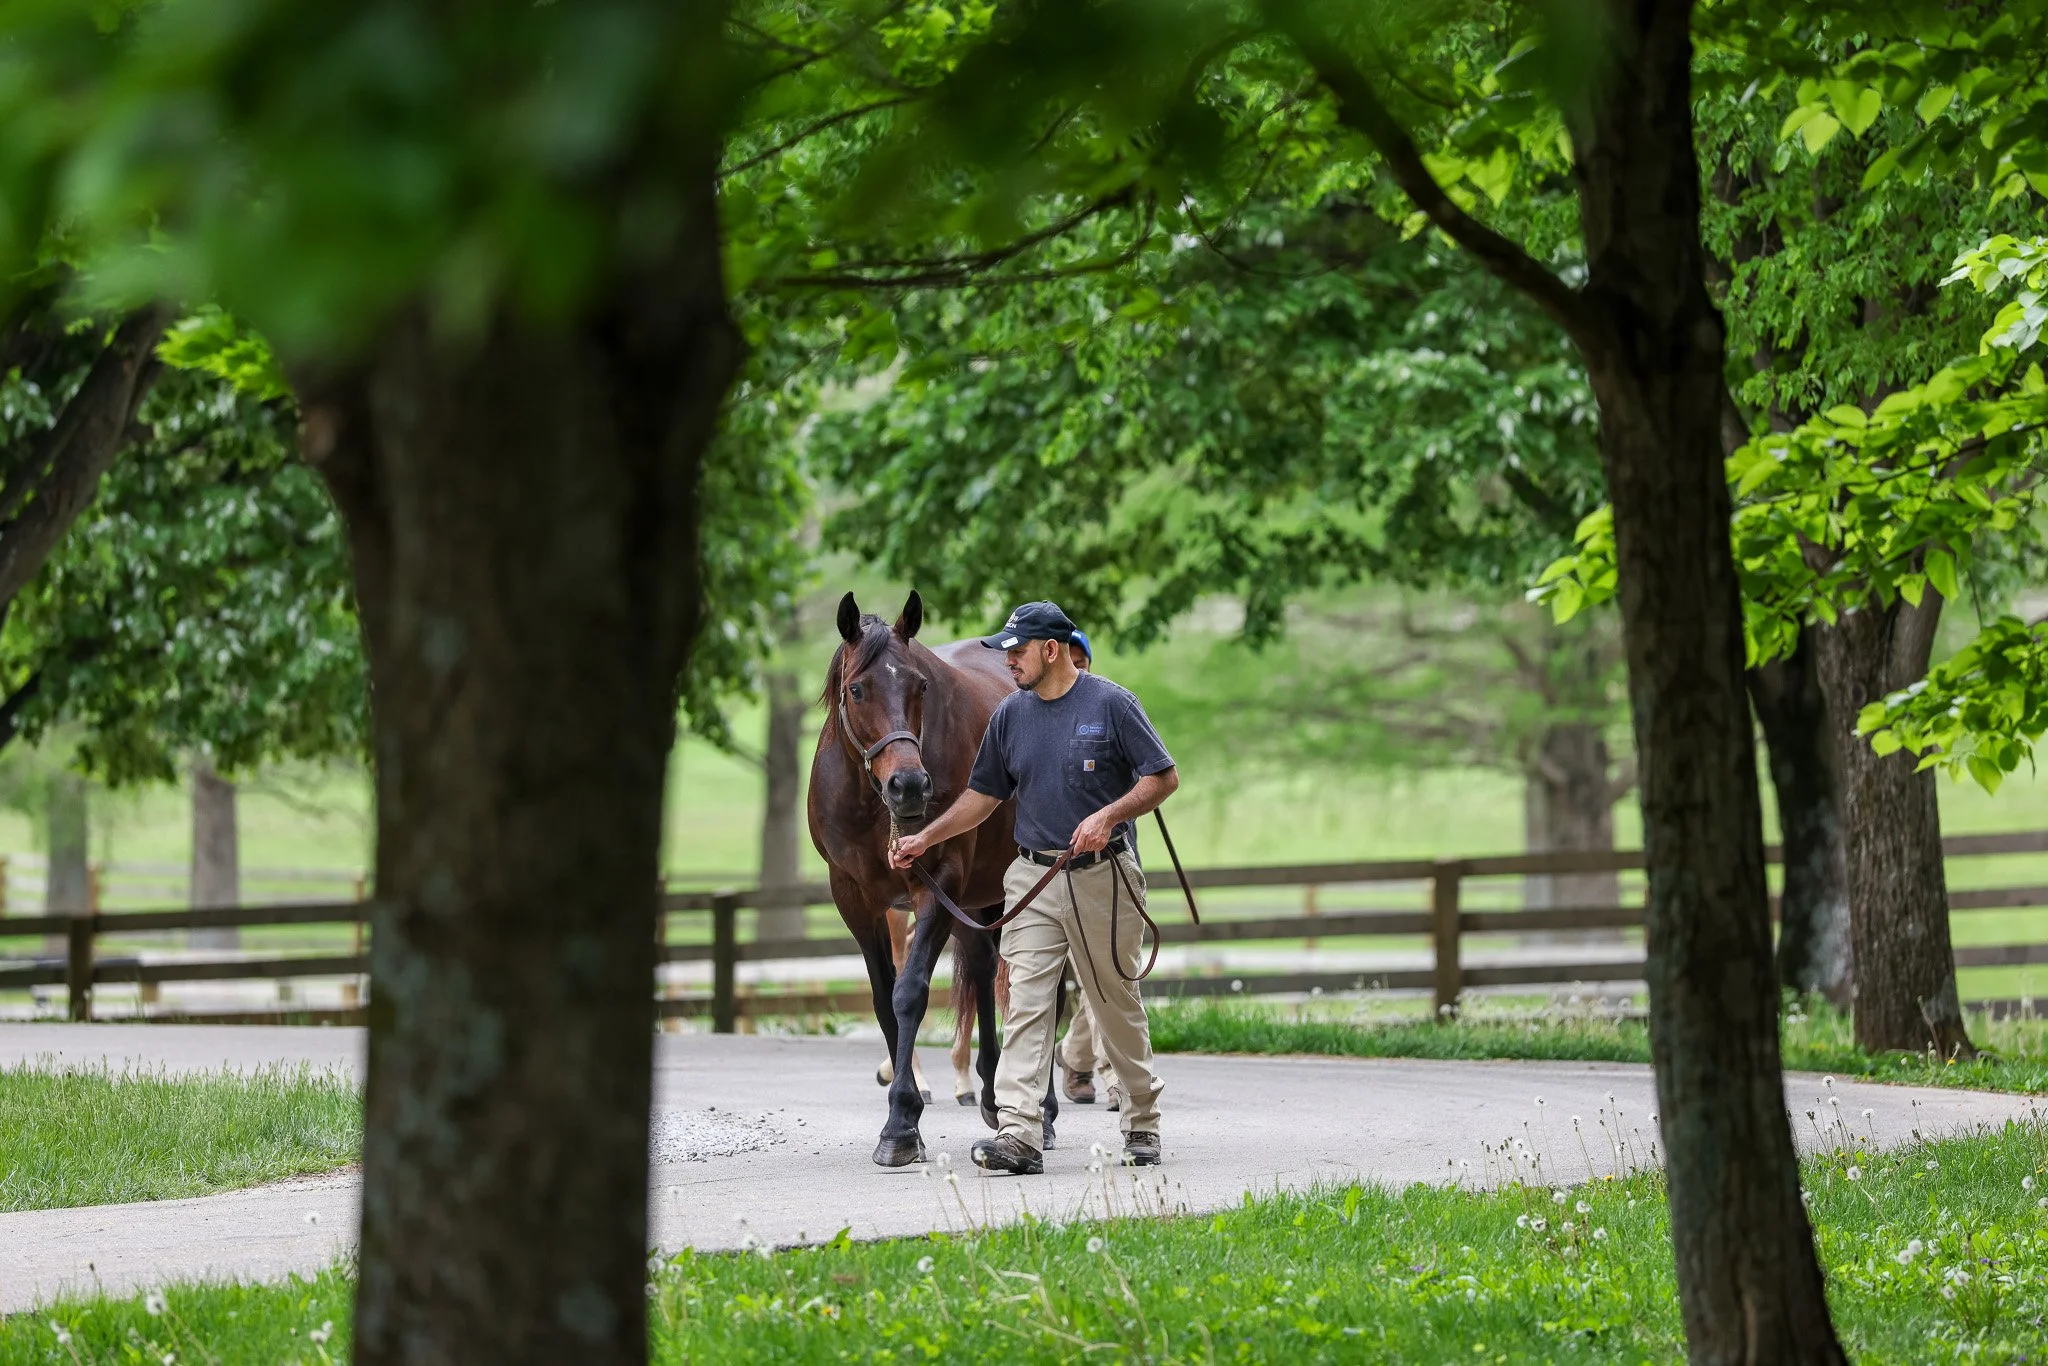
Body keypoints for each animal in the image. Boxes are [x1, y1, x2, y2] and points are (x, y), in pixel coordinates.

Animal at [809, 590, 1065, 1165]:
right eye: (856, 689)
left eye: (920, 685)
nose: (909, 786)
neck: (872, 806)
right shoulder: (855, 900)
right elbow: (884, 999)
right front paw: (906, 1119)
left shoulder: (938, 883)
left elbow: (910, 994)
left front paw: (901, 1124)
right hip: (979, 900)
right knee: (988, 968)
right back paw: (992, 1092)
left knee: (1046, 986)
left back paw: (1042, 1110)